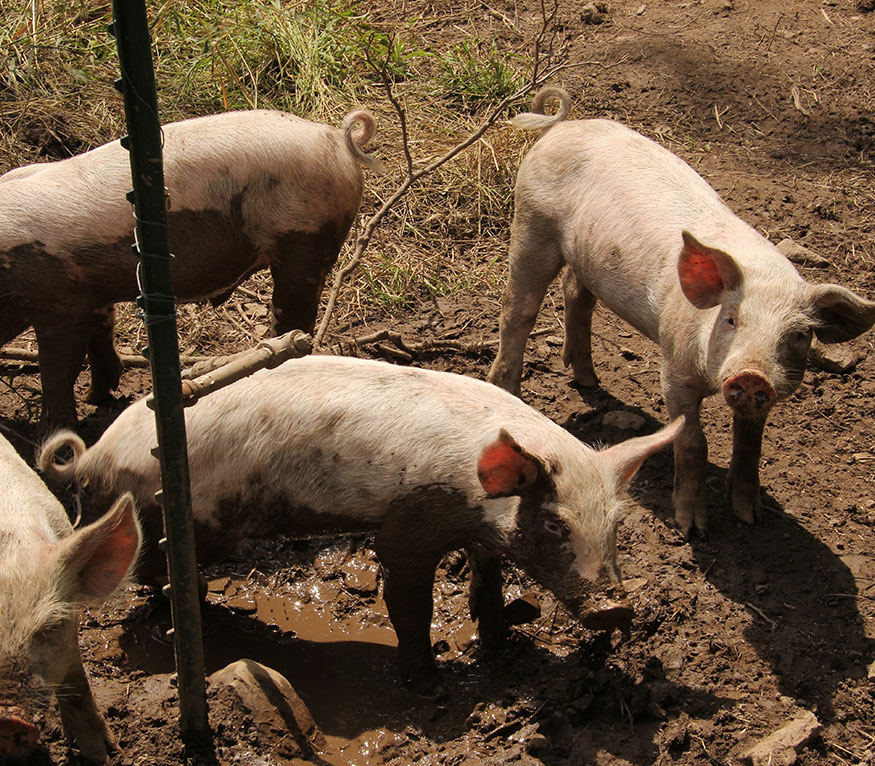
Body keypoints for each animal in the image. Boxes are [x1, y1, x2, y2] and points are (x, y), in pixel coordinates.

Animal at [0, 108, 383, 427]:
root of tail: (336, 137)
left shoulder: (61, 302)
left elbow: (58, 369)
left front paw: (55, 433)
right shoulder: (92, 292)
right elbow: (100, 336)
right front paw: (97, 397)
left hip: (304, 237)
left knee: (294, 313)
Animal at [39, 355, 682, 693]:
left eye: (616, 526)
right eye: (554, 525)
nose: (615, 606)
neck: (475, 496)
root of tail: (92, 459)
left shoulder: (481, 531)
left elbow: (490, 573)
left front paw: (498, 636)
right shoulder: (410, 520)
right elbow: (407, 596)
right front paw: (426, 683)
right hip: (166, 516)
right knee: (147, 573)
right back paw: (183, 620)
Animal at [487, 86, 875, 537]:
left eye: (797, 335)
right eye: (731, 319)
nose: (752, 373)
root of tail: (562, 126)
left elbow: (751, 444)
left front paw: (751, 516)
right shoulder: (673, 368)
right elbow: (693, 443)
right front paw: (692, 529)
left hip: (585, 255)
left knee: (575, 294)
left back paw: (587, 379)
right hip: (532, 224)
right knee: (517, 310)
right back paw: (509, 390)